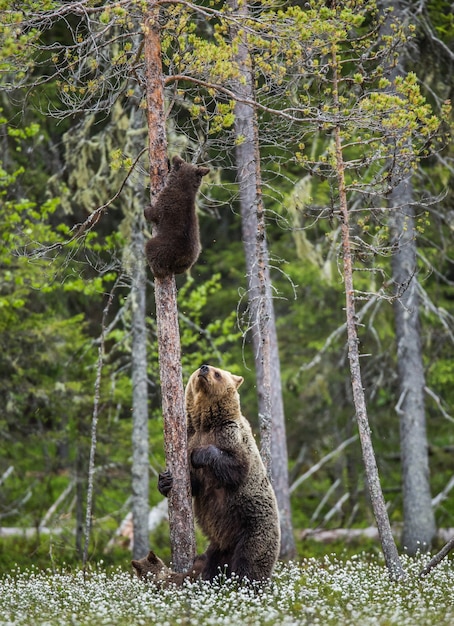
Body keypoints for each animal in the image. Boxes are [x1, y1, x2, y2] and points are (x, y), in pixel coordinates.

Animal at [159, 364, 280, 584]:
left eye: (217, 373)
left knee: (250, 563)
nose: (204, 368)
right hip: (218, 545)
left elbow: (236, 467)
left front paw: (198, 455)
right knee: (212, 565)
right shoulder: (190, 437)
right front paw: (165, 481)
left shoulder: (231, 436)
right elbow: (193, 484)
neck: (205, 424)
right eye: (201, 368)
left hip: (254, 529)